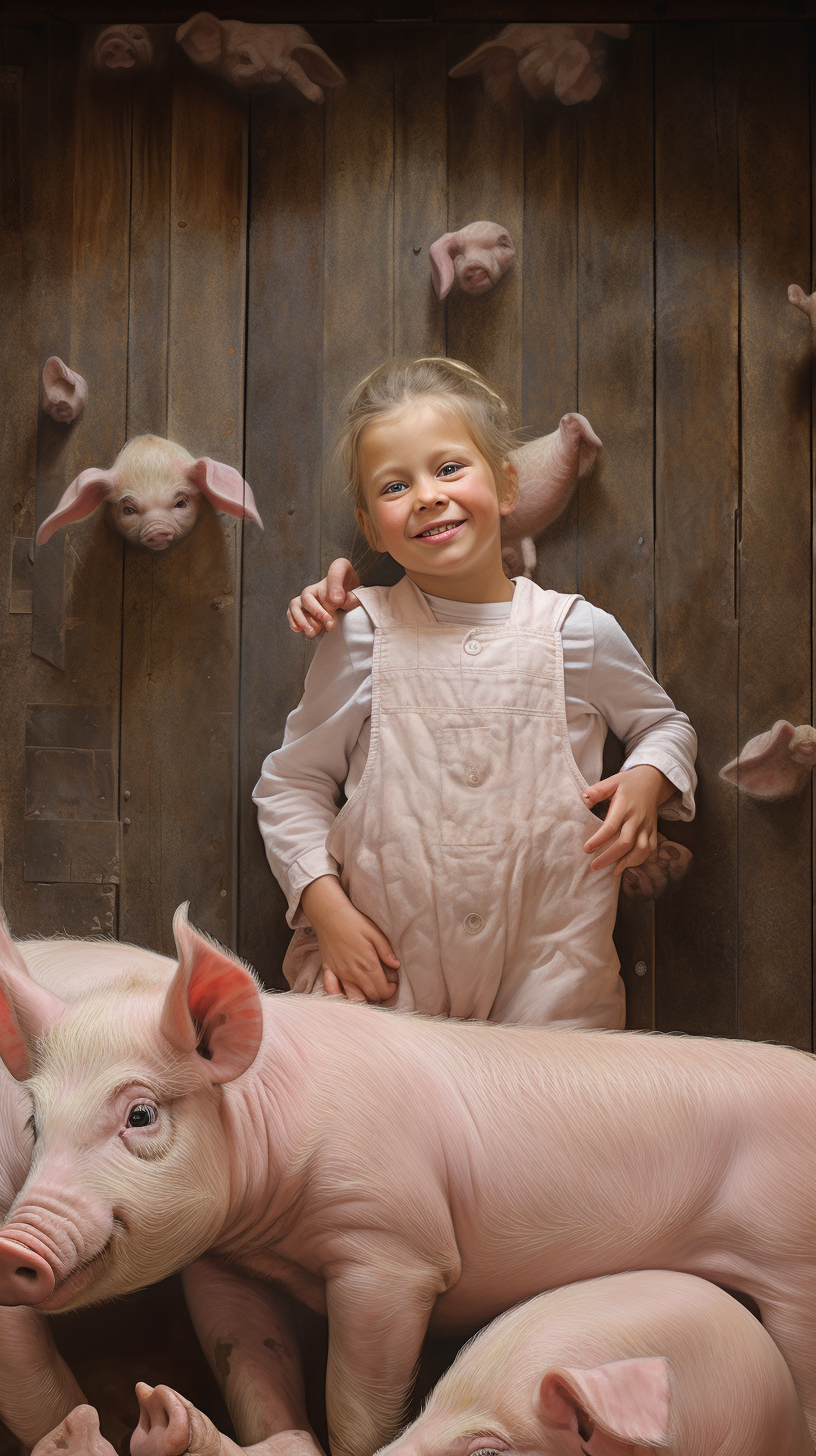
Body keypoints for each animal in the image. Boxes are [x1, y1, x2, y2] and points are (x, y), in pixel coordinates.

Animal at [0, 908, 816, 1456]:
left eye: (140, 1114)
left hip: (795, 1272)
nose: (14, 1245)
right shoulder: (225, 1263)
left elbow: (356, 1404)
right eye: (35, 1122)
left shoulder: (392, 1251)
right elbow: (253, 1371)